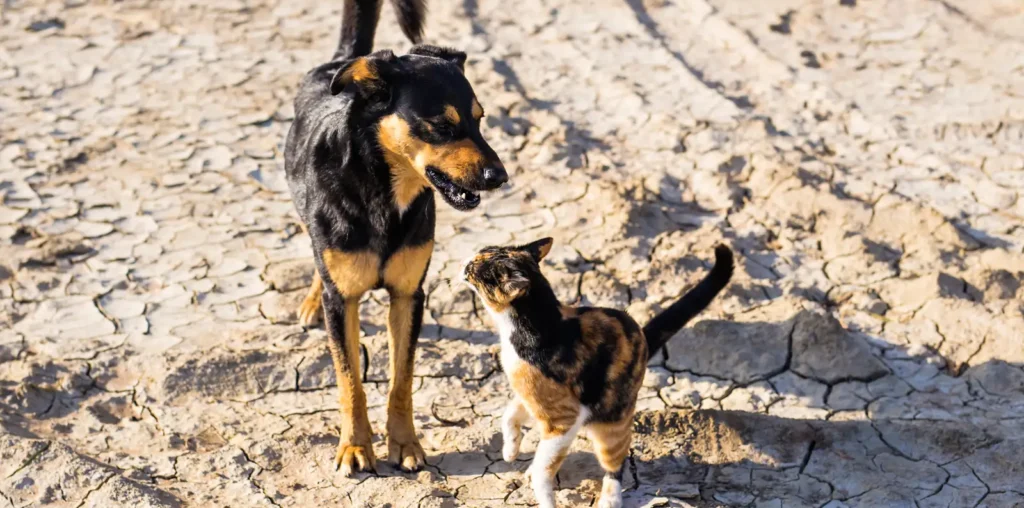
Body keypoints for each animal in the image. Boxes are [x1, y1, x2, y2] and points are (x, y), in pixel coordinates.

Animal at [284, 0, 507, 475]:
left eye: (480, 120)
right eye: (442, 125)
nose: (500, 177)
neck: (384, 194)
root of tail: (342, 61)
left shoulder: (409, 294)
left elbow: (401, 379)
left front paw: (404, 443)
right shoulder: (343, 302)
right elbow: (350, 380)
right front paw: (355, 447)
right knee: (317, 252)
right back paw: (312, 298)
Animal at [460, 237, 733, 508]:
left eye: (480, 269)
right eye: (483, 252)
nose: (466, 263)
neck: (542, 321)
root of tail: (644, 338)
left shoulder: (563, 418)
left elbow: (544, 468)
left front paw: (544, 496)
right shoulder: (531, 396)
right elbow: (509, 415)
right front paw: (510, 450)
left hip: (611, 426)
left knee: (616, 465)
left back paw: (610, 499)